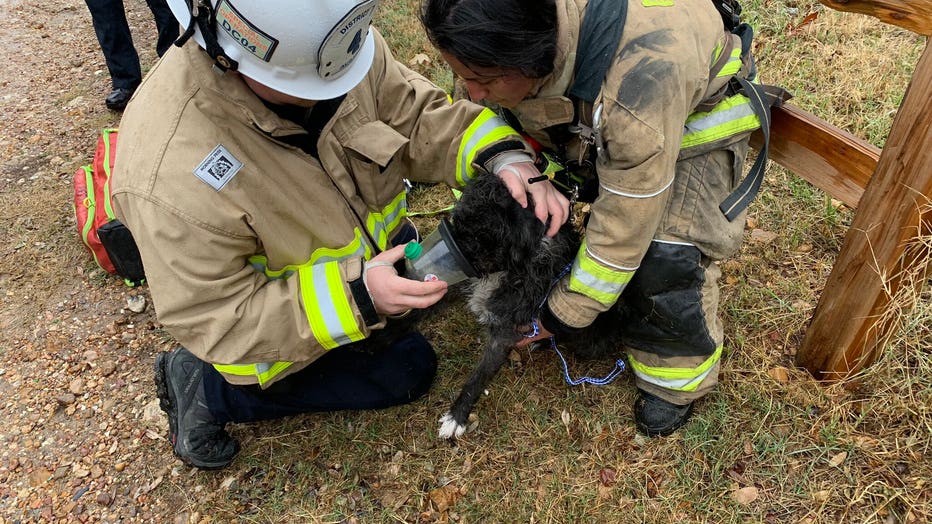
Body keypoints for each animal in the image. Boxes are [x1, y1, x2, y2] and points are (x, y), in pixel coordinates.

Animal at [436, 175, 620, 438]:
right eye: (457, 223)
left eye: (480, 237)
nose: (450, 257)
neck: (508, 270)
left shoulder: (503, 334)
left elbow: (479, 376)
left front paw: (457, 416)